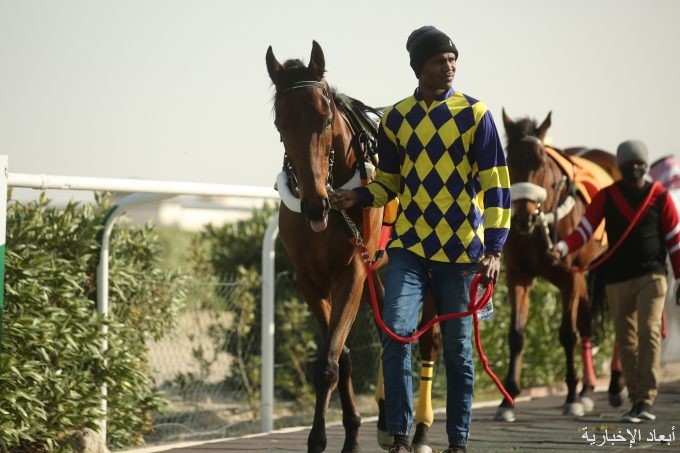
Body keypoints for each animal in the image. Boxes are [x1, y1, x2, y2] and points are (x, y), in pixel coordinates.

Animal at [266, 41, 441, 453]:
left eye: (326, 117)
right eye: (282, 124)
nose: (314, 204)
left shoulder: (351, 272)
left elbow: (330, 360)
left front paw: (323, 439)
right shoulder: (311, 279)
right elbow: (341, 354)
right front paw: (351, 430)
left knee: (428, 342)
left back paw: (421, 432)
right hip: (377, 268)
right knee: (389, 333)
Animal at [497, 109, 624, 422]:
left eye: (540, 162)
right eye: (509, 161)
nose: (523, 218)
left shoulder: (569, 276)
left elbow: (567, 334)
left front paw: (571, 396)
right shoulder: (518, 276)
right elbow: (516, 335)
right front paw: (508, 399)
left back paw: (615, 385)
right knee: (588, 321)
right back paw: (589, 390)